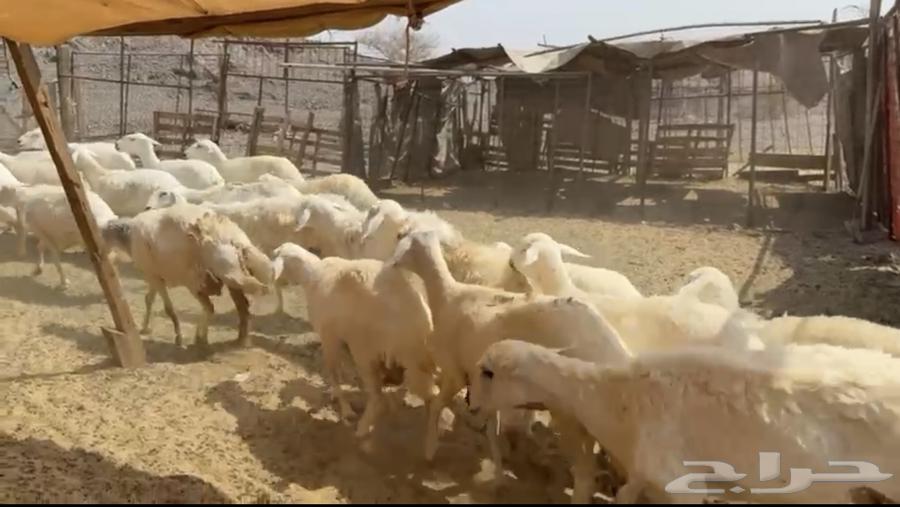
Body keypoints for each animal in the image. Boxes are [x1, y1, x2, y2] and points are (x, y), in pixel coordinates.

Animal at [102, 203, 274, 346]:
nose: (102, 255)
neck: (127, 236)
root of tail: (234, 237)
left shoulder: (154, 276)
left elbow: (168, 308)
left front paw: (178, 338)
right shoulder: (155, 275)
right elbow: (149, 299)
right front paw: (145, 328)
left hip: (209, 278)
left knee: (242, 294)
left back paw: (203, 339)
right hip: (223, 278)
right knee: (242, 307)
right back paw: (240, 340)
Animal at [271, 242, 436, 438]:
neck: (313, 274)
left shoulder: (329, 336)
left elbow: (333, 371)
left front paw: (345, 411)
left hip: (373, 351)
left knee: (387, 396)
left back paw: (363, 429)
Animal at [388, 229, 631, 502]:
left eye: (407, 240)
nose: (393, 262)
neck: (447, 295)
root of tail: (610, 347)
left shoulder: (455, 372)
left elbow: (438, 406)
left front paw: (430, 449)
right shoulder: (487, 386)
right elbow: (492, 431)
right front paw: (498, 476)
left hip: (567, 413)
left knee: (584, 473)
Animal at [471, 337, 900, 504]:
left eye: (488, 371)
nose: (468, 402)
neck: (615, 400)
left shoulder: (681, 482)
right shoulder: (645, 472)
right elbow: (625, 495)